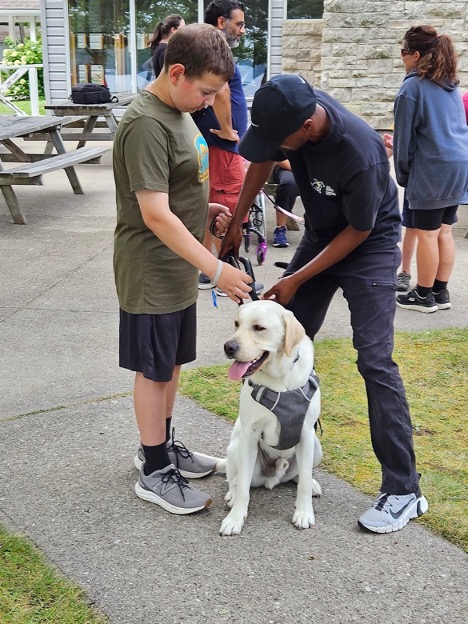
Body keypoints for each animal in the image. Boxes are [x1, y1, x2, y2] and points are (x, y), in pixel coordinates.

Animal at [217, 300, 322, 532]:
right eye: (236, 324)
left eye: (258, 328)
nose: (228, 347)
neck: (279, 380)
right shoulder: (250, 434)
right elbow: (243, 489)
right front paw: (235, 519)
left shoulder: (306, 433)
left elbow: (303, 481)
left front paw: (304, 513)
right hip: (236, 448)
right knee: (235, 480)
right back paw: (231, 496)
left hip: (317, 447)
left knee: (300, 475)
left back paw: (310, 484)